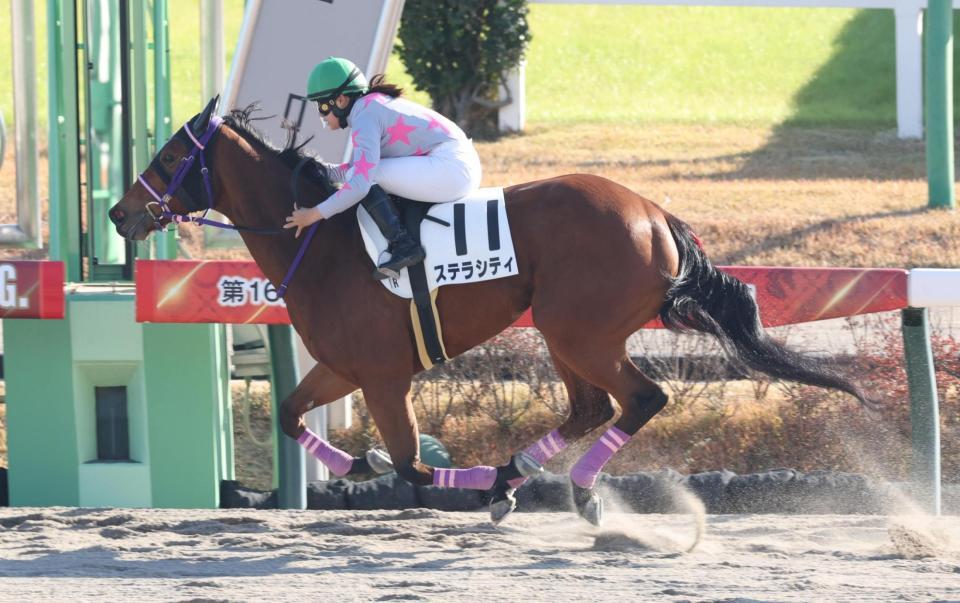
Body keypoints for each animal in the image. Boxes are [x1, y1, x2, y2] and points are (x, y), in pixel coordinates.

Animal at [109, 98, 872, 524]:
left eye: (172, 154)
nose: (120, 213)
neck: (316, 244)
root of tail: (654, 212)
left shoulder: (384, 376)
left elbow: (414, 468)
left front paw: (474, 484)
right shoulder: (344, 366)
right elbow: (293, 414)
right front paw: (353, 465)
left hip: (579, 330)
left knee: (640, 398)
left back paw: (571, 488)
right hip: (566, 333)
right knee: (592, 408)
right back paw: (533, 475)